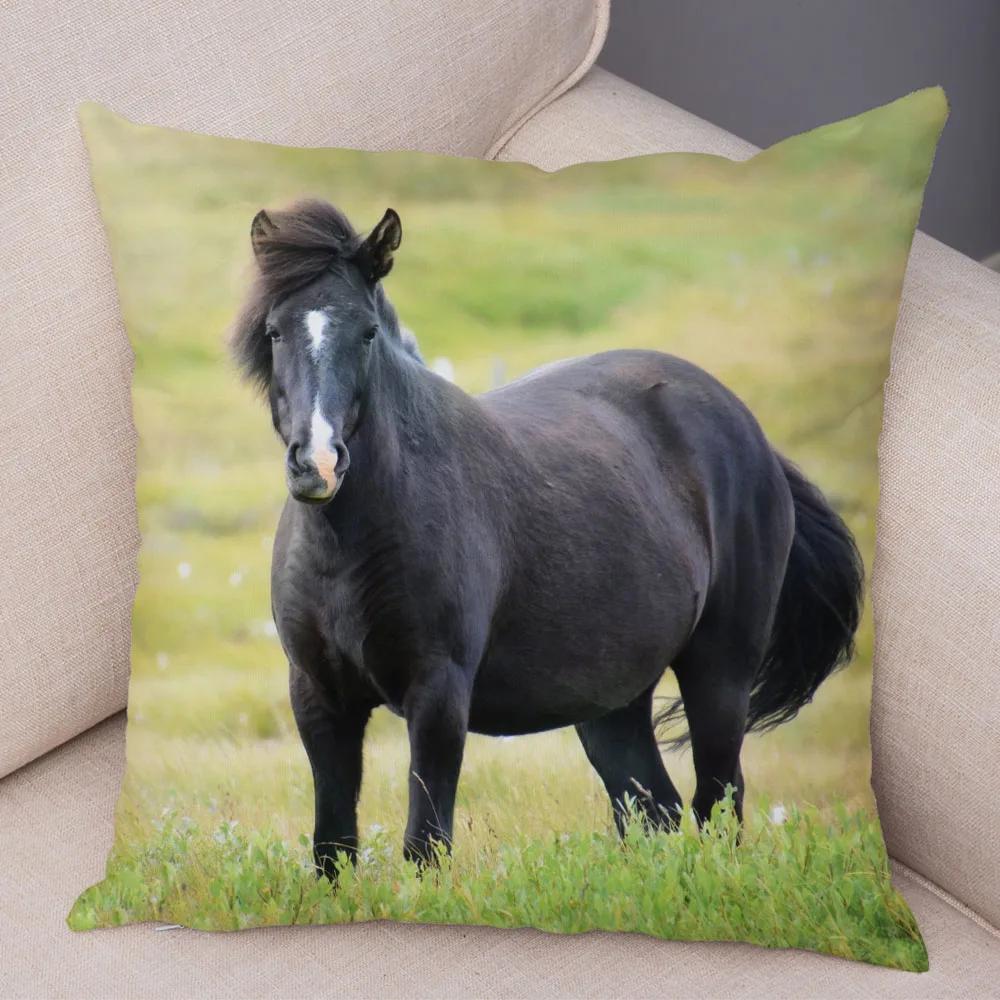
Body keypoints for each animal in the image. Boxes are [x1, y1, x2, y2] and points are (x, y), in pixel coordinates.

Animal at [231, 198, 863, 877]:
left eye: (368, 332)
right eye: (275, 331)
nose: (317, 463)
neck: (349, 546)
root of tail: (753, 435)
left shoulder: (438, 696)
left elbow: (425, 844)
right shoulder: (319, 698)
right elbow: (333, 849)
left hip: (719, 673)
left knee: (718, 805)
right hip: (614, 704)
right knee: (654, 810)